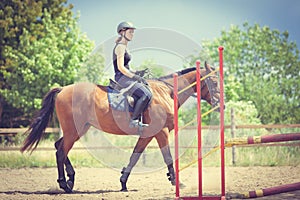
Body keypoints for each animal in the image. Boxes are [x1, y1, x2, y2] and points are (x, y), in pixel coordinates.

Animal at [19, 62, 220, 192]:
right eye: (214, 81)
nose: (220, 104)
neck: (166, 92)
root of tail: (62, 89)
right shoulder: (161, 132)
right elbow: (168, 158)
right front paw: (177, 183)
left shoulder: (147, 135)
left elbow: (135, 156)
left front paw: (123, 182)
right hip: (73, 130)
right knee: (61, 151)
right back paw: (64, 184)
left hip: (78, 129)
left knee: (59, 146)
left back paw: (70, 179)